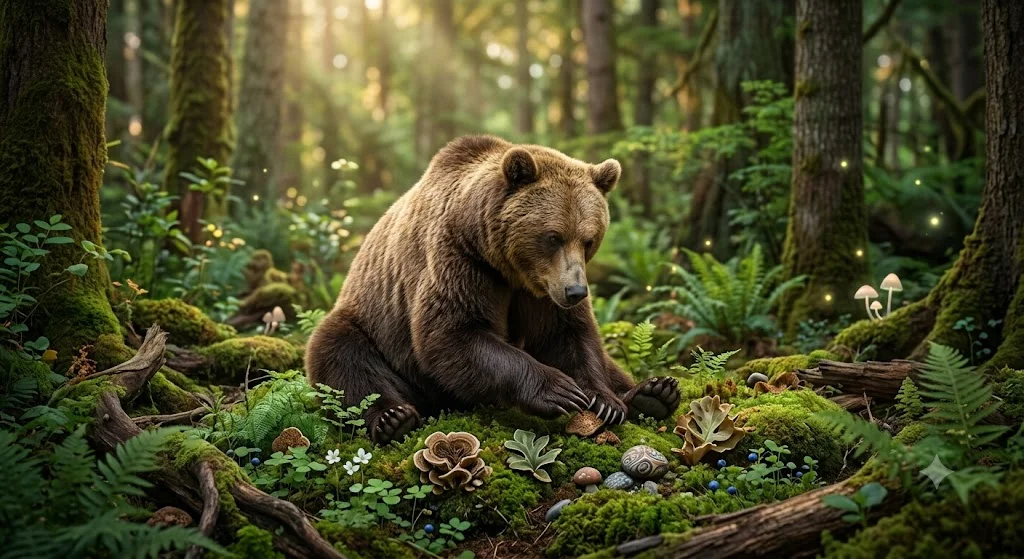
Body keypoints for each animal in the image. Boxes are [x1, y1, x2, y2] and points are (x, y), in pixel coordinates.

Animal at [306, 135, 681, 444]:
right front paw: (558, 390)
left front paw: (605, 401)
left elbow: (570, 336)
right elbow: (454, 334)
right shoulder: (461, 260)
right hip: (373, 326)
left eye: (589, 239)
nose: (576, 292)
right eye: (553, 236)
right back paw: (393, 419)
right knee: (342, 357)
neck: (509, 267)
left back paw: (654, 393)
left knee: (612, 363)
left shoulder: (541, 291)